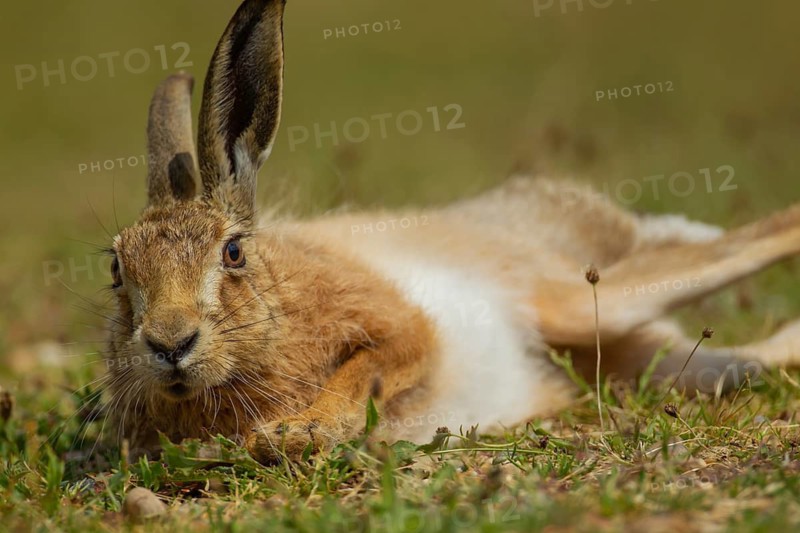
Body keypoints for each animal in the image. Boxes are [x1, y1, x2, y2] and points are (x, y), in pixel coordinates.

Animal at [104, 0, 800, 464]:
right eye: (116, 270)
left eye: (233, 252)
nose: (169, 343)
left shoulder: (409, 327)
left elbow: (371, 367)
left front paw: (299, 432)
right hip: (631, 348)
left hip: (578, 300)